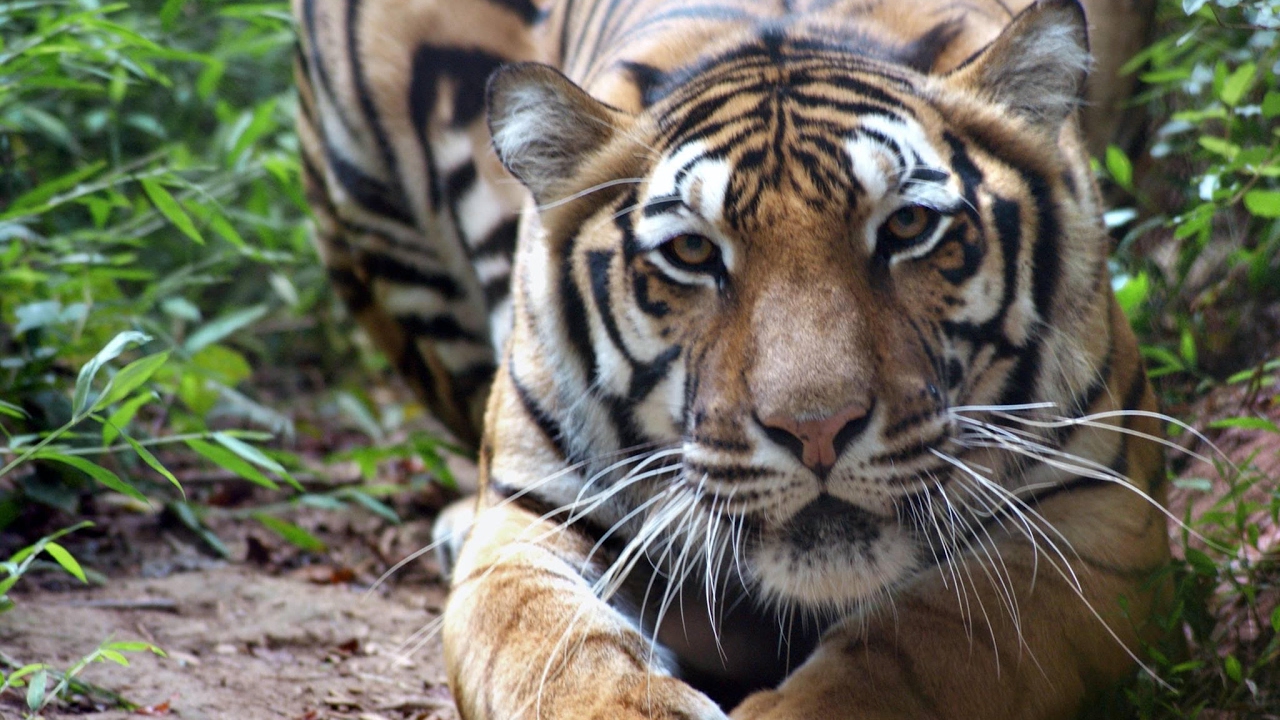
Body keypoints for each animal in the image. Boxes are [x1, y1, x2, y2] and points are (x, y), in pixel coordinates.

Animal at [292, 0, 1171, 718]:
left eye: (907, 228)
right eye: (691, 252)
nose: (816, 431)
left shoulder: (1091, 509)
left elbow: (921, 646)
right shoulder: (531, 519)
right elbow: (550, 652)